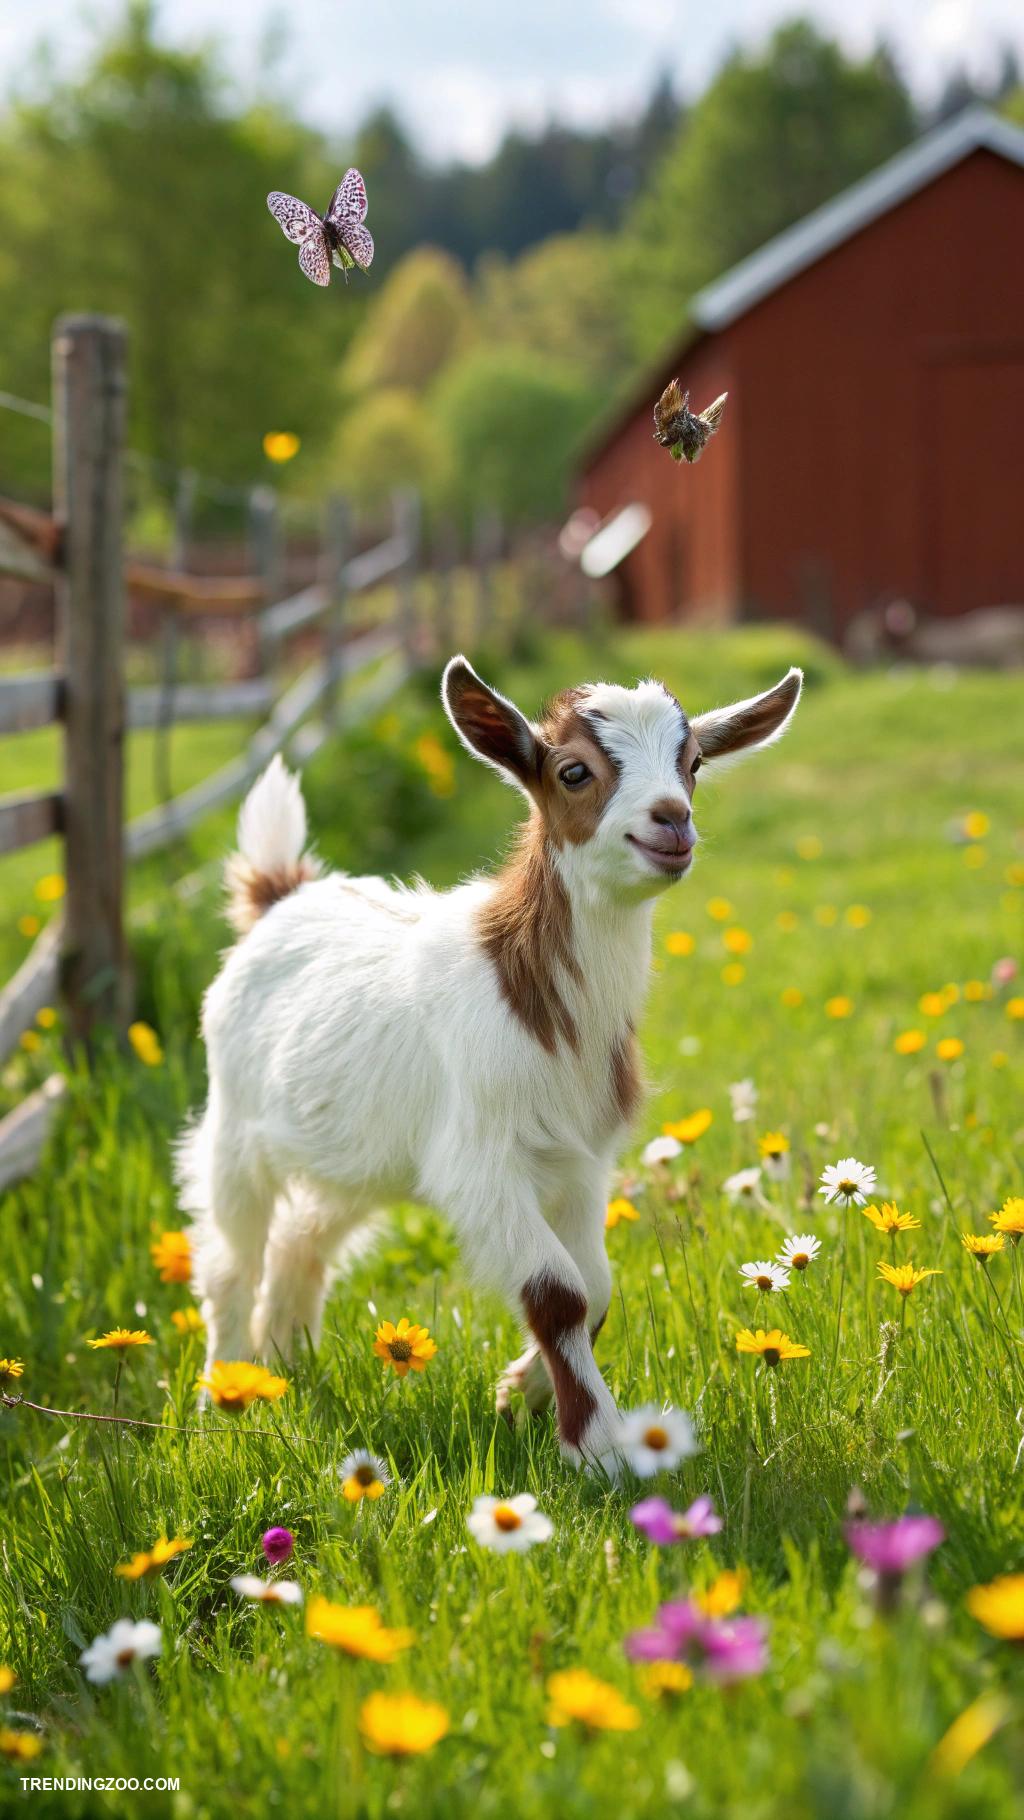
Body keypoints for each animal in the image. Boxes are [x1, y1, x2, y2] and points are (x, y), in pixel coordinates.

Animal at [177, 656, 802, 1465]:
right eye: (574, 771)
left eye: (692, 762)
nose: (671, 820)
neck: (534, 995)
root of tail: (280, 894)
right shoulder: (480, 1160)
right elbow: (557, 1292)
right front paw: (599, 1445)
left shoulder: (581, 1160)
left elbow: (596, 1287)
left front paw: (520, 1392)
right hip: (232, 1125)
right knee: (231, 1256)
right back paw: (221, 1394)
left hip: (355, 1150)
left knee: (301, 1239)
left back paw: (284, 1363)